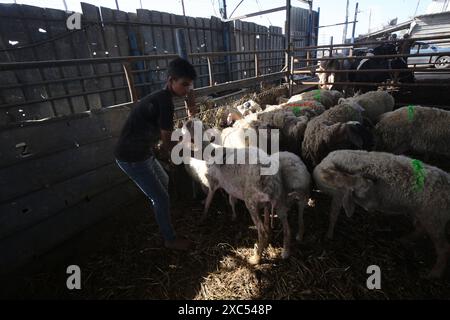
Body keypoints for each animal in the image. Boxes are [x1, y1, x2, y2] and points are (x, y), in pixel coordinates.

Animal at [312, 150, 450, 278]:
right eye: (362, 194)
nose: (372, 208)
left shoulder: (339, 193)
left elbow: (333, 214)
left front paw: (328, 235)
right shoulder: (340, 192)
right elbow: (334, 213)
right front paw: (329, 235)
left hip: (434, 217)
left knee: (443, 248)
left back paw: (435, 273)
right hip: (423, 213)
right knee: (421, 229)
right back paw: (405, 239)